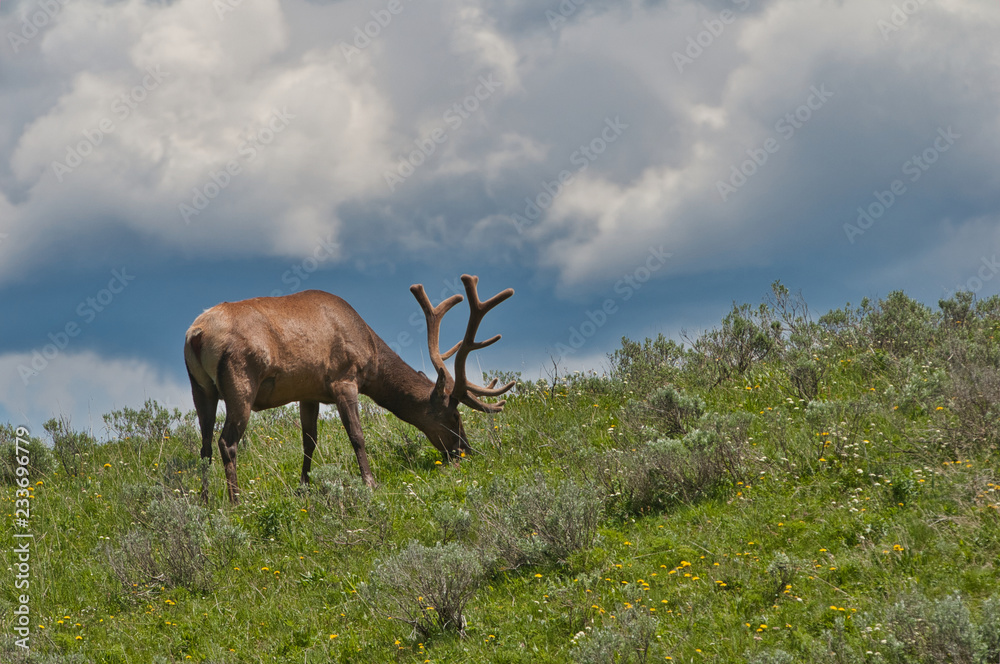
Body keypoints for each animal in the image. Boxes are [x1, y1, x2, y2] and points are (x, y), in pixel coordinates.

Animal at [183, 275, 514, 503]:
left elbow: (309, 441)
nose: (466, 451)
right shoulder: (344, 379)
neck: (370, 352)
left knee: (204, 445)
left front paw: (304, 486)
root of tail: (197, 334)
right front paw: (370, 482)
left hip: (200, 388)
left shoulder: (308, 392)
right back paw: (236, 500)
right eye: (454, 416)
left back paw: (204, 500)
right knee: (226, 442)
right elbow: (357, 435)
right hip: (241, 381)